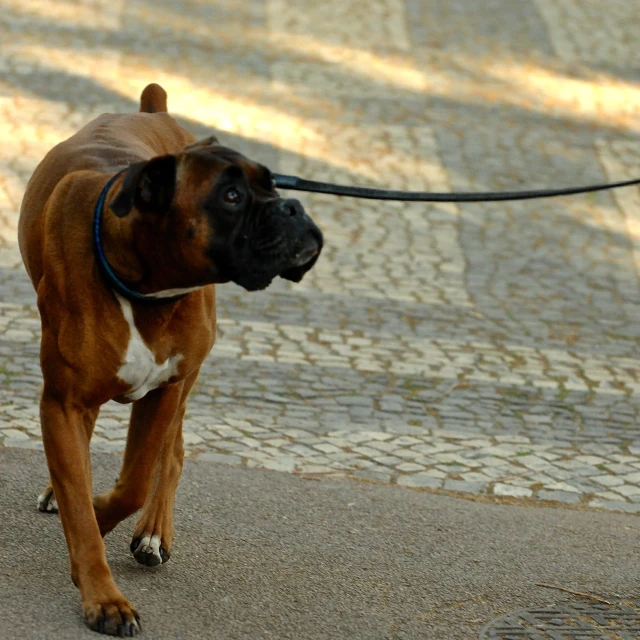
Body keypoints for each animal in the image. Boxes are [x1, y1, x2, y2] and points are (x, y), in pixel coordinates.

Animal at [18, 84, 322, 636]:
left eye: (271, 185)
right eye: (231, 196)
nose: (291, 206)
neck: (144, 286)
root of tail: (150, 109)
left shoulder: (163, 392)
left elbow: (132, 485)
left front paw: (98, 515)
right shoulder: (65, 401)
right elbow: (81, 484)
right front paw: (102, 593)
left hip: (186, 381)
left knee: (172, 454)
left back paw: (152, 533)